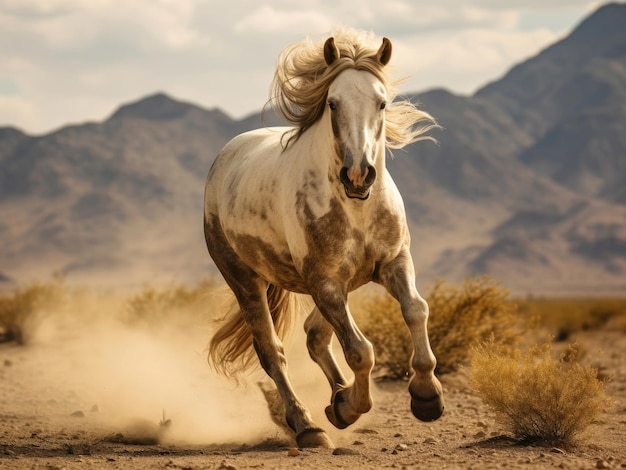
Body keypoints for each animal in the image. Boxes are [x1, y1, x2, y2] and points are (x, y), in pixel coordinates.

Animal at [202, 29, 442, 448]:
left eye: (382, 102)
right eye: (333, 103)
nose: (358, 174)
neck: (357, 210)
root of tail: (227, 155)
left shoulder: (393, 262)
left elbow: (416, 309)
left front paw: (427, 397)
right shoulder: (324, 280)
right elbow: (361, 351)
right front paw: (350, 407)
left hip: (341, 284)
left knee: (315, 335)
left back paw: (335, 401)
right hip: (246, 279)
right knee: (273, 351)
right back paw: (308, 426)